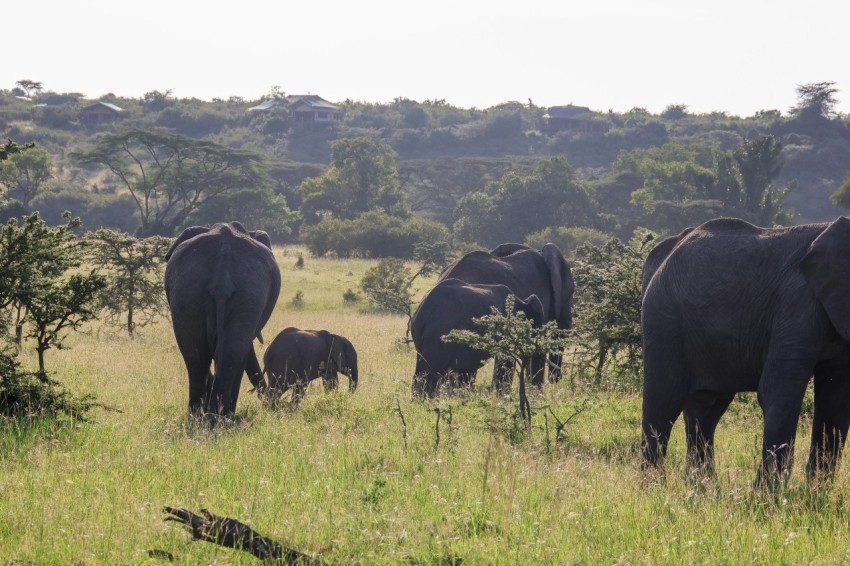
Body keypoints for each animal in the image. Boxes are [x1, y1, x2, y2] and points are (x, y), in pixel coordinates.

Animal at [165, 222, 281, 420]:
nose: (270, 404)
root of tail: (222, 273)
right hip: (248, 292)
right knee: (232, 351)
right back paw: (219, 416)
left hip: (189, 290)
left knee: (196, 353)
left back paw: (202, 417)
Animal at [411, 278, 545, 397]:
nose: (537, 394)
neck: (522, 301)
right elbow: (505, 362)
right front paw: (502, 397)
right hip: (439, 332)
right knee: (430, 371)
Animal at [641, 216, 850, 484]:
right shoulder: (797, 303)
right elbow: (778, 390)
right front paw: (769, 493)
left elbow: (837, 399)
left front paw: (815, 490)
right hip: (664, 319)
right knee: (665, 400)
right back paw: (653, 485)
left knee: (706, 409)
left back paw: (702, 486)